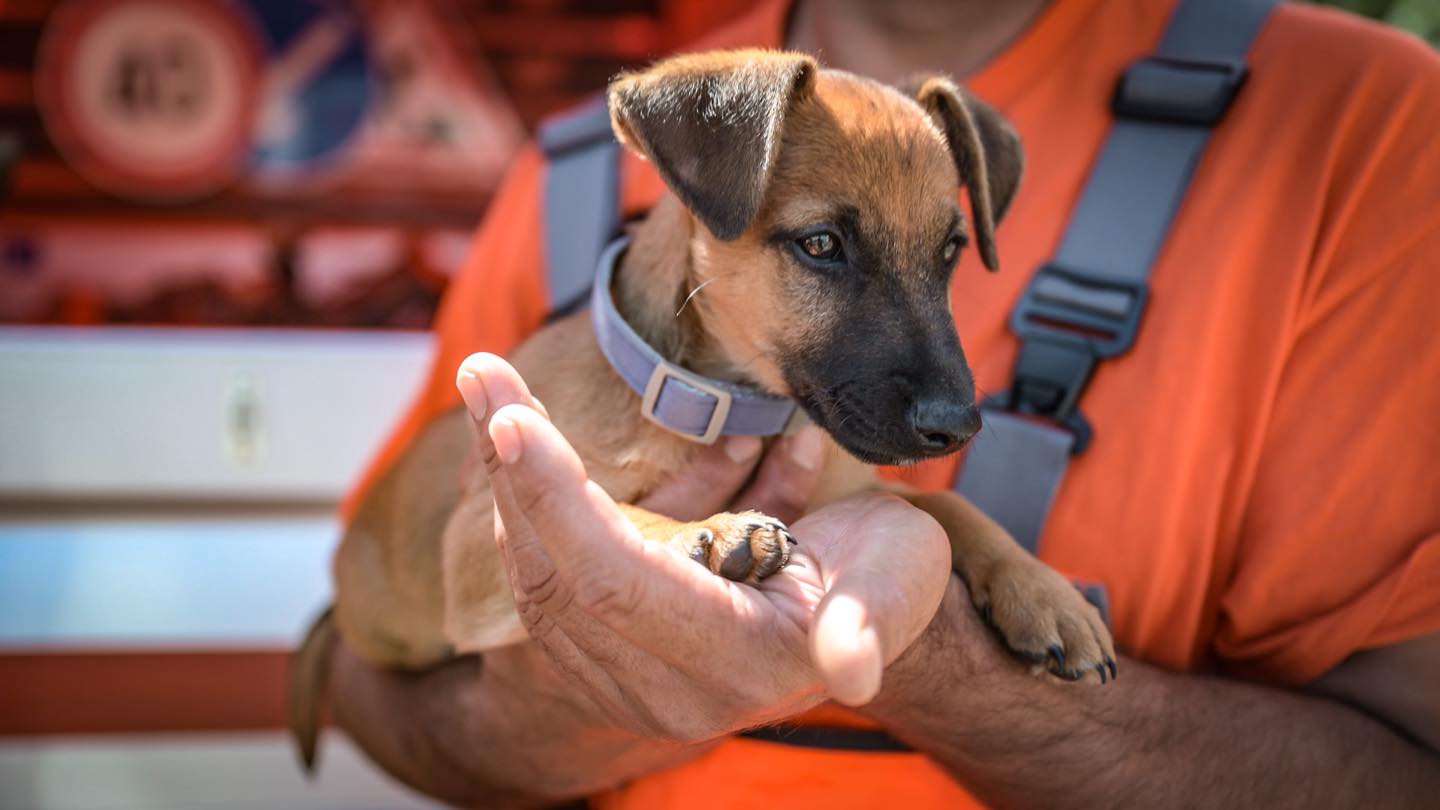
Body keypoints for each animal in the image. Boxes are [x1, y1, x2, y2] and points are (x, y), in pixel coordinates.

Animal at [292, 49, 1117, 766]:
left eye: (951, 250)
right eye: (822, 244)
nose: (957, 426)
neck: (727, 402)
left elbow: (943, 508)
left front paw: (1045, 592)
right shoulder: (477, 537)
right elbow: (611, 504)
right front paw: (711, 530)